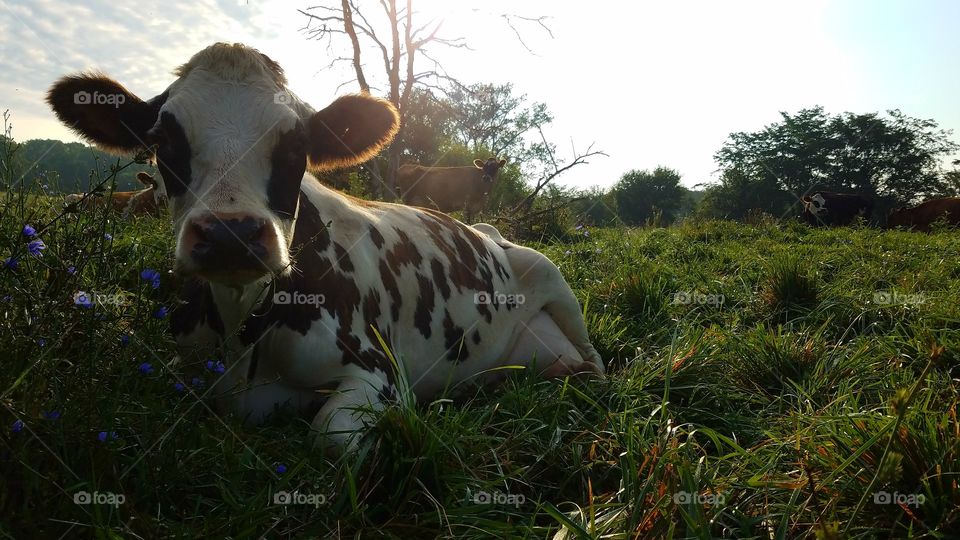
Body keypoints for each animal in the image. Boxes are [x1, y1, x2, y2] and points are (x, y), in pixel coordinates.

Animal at [47, 43, 603, 452]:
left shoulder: (378, 372)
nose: (230, 235)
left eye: (297, 144)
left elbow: (330, 436)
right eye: (164, 141)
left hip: (553, 278)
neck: (242, 330)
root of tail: (489, 230)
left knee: (594, 361)